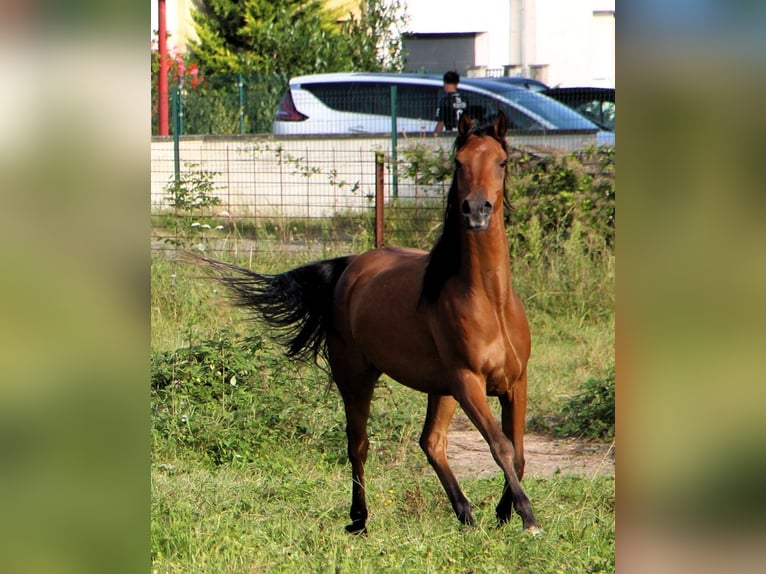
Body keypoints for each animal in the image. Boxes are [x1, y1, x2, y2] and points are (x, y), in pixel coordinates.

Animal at [195, 111, 544, 536]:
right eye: (459, 163)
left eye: (502, 162)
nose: (476, 210)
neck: (490, 300)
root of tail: (351, 266)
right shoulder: (468, 381)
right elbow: (501, 445)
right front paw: (527, 517)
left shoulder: (515, 382)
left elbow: (519, 452)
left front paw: (505, 512)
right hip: (359, 377)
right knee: (358, 444)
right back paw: (360, 518)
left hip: (441, 389)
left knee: (432, 442)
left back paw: (465, 513)